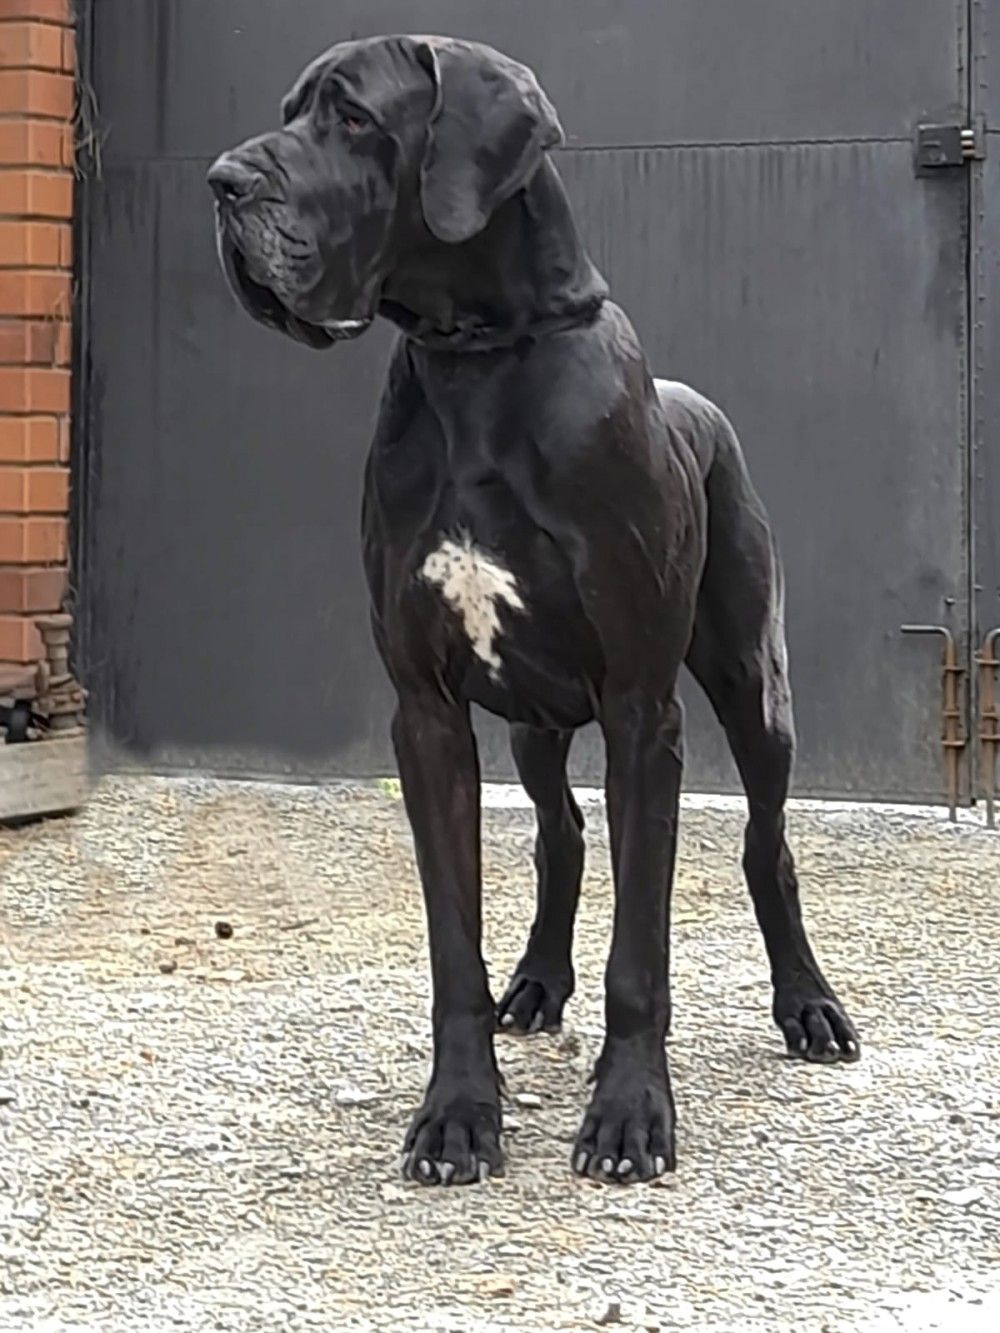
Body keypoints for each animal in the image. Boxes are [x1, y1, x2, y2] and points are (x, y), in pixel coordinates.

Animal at [209, 34, 859, 1187]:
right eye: (288, 112)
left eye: (352, 118)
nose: (222, 182)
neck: (478, 361)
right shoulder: (426, 712)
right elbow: (451, 939)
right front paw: (458, 1114)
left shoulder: (644, 710)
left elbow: (641, 951)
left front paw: (631, 1116)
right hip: (535, 720)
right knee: (560, 833)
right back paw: (538, 981)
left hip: (751, 683)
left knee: (766, 844)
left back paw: (809, 1004)